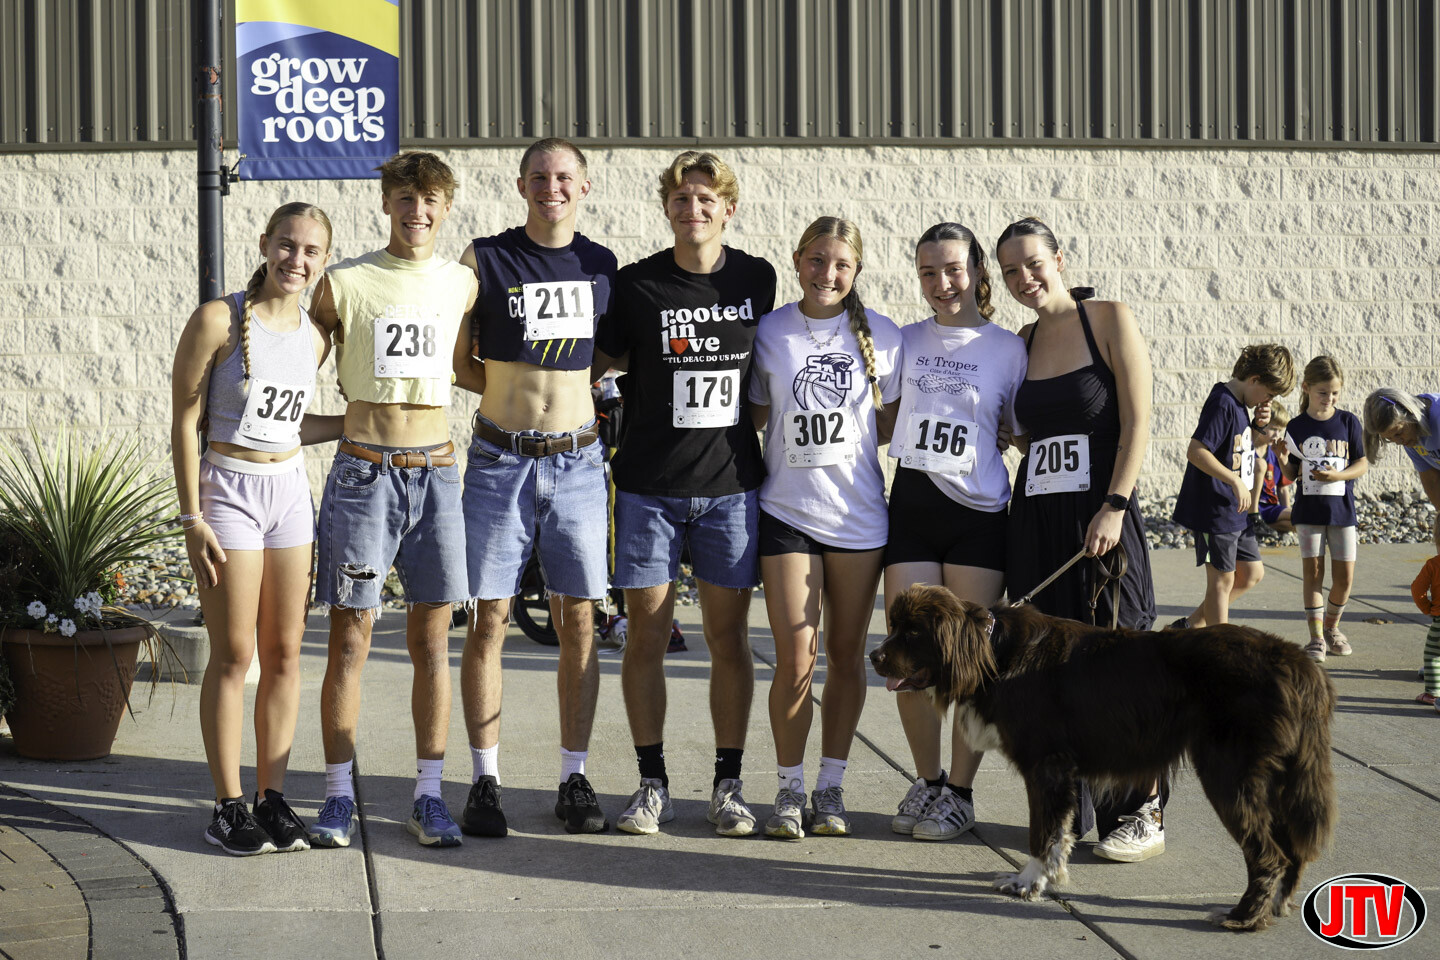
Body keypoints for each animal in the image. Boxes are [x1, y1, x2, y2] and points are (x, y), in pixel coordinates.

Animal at [871, 585, 1336, 931]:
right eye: (894, 626)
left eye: (913, 633)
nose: (874, 656)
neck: (993, 651)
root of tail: (1297, 662)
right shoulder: (1059, 772)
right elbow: (1059, 833)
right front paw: (1048, 876)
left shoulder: (1046, 766)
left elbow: (1043, 831)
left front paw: (1028, 882)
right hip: (1274, 778)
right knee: (1290, 847)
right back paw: (1276, 905)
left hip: (1228, 773)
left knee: (1268, 853)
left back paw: (1242, 918)